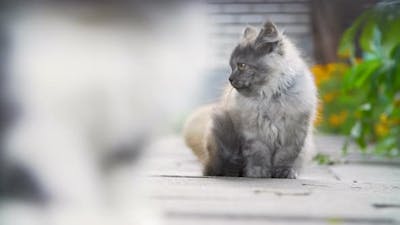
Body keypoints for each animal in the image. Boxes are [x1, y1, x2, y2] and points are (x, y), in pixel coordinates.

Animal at [183, 21, 318, 179]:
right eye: (231, 66)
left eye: (241, 65)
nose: (230, 79)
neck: (270, 97)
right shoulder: (252, 134)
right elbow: (259, 155)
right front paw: (258, 173)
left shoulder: (294, 132)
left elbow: (286, 156)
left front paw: (284, 173)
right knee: (220, 167)